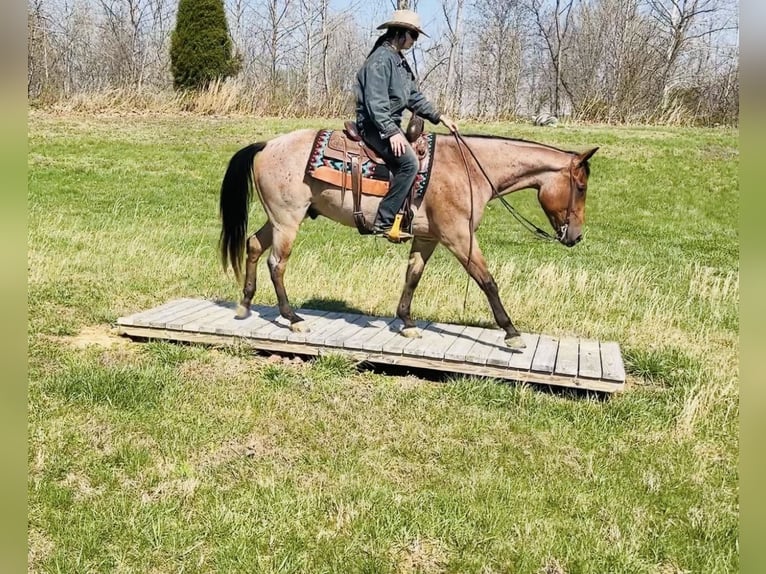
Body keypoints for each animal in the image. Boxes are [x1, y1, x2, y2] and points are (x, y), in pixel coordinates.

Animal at [218, 127, 598, 349]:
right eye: (580, 187)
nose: (576, 237)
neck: (469, 169)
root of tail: (267, 144)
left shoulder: (428, 238)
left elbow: (413, 276)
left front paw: (407, 322)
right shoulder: (459, 237)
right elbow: (487, 281)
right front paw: (511, 331)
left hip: (277, 220)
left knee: (253, 245)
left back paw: (245, 305)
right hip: (287, 220)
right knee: (276, 263)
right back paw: (292, 318)